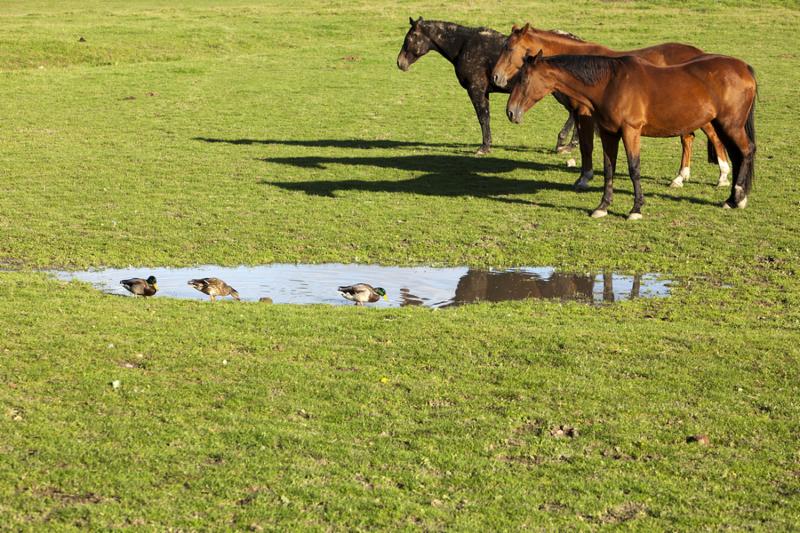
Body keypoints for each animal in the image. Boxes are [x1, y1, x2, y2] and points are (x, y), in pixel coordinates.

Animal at [396, 17, 577, 155]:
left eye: (410, 38)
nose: (400, 62)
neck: (465, 45)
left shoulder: (476, 90)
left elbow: (483, 118)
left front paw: (484, 147)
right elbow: (486, 117)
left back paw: (564, 142)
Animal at [491, 23, 731, 190]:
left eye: (509, 48)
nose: (496, 77)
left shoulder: (584, 114)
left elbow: (586, 145)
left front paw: (584, 177)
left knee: (713, 137)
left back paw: (721, 176)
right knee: (689, 138)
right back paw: (682, 176)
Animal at [506, 51, 756, 219]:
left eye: (524, 79)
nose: (510, 112)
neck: (610, 83)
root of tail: (744, 68)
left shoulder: (630, 131)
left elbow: (634, 169)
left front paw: (636, 209)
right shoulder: (609, 133)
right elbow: (609, 169)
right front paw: (603, 207)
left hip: (730, 125)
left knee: (746, 152)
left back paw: (738, 198)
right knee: (737, 156)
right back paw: (732, 199)